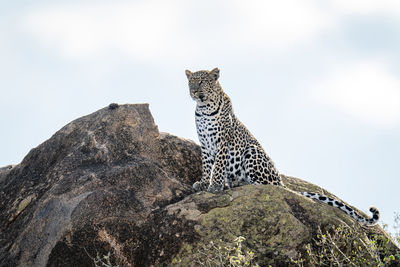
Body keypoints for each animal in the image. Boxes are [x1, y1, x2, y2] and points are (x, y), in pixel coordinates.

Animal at [184, 68, 378, 227]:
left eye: (202, 81)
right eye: (191, 82)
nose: (194, 92)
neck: (204, 108)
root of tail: (281, 181)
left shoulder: (223, 141)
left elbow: (218, 166)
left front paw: (215, 186)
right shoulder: (204, 143)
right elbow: (207, 165)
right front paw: (203, 183)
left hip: (252, 151)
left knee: (268, 186)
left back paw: (243, 183)